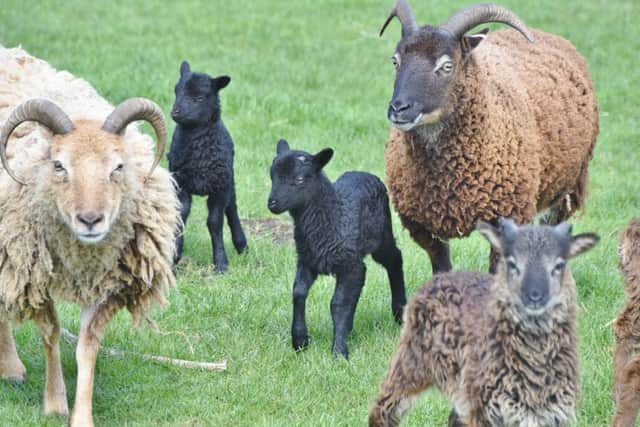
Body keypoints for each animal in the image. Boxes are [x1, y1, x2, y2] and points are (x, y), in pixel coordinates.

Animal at [0, 46, 179, 427]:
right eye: (58, 165)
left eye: (118, 167)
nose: (91, 220)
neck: (81, 257)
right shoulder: (32, 272)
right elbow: (51, 333)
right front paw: (55, 403)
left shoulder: (109, 284)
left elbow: (87, 347)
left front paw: (82, 416)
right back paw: (11, 367)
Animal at [168, 60, 247, 272]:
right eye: (176, 91)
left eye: (200, 97)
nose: (175, 112)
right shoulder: (181, 184)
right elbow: (181, 215)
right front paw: (175, 256)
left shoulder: (219, 188)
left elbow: (215, 222)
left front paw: (221, 263)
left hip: (229, 180)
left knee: (232, 209)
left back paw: (241, 244)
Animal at [267, 139, 406, 358]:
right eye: (271, 175)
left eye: (299, 179)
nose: (272, 203)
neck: (331, 216)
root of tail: (364, 173)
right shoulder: (307, 261)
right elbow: (298, 293)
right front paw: (300, 340)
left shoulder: (349, 264)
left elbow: (338, 303)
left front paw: (339, 351)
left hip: (381, 237)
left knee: (395, 260)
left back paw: (399, 311)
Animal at [369, 218, 599, 427]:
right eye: (512, 263)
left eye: (559, 265)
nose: (534, 296)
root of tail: (441, 277)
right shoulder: (486, 411)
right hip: (412, 362)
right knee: (382, 409)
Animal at [379, 1, 599, 274]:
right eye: (395, 61)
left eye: (447, 66)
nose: (399, 108)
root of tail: (547, 35)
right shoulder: (424, 228)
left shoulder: (508, 216)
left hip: (566, 191)